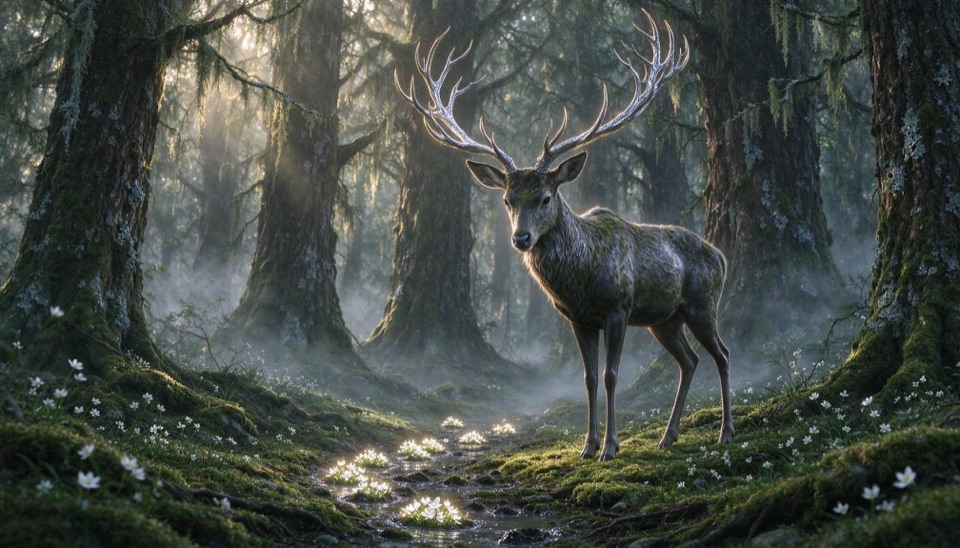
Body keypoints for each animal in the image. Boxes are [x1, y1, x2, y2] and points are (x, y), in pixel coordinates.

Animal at [396, 11, 733, 461]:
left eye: (545, 197)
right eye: (506, 199)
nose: (521, 239)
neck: (581, 278)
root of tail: (721, 255)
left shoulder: (618, 308)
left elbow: (611, 375)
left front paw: (610, 447)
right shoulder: (578, 319)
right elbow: (588, 379)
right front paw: (587, 446)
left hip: (701, 304)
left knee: (723, 355)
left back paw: (726, 431)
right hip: (666, 319)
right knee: (690, 361)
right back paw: (668, 435)